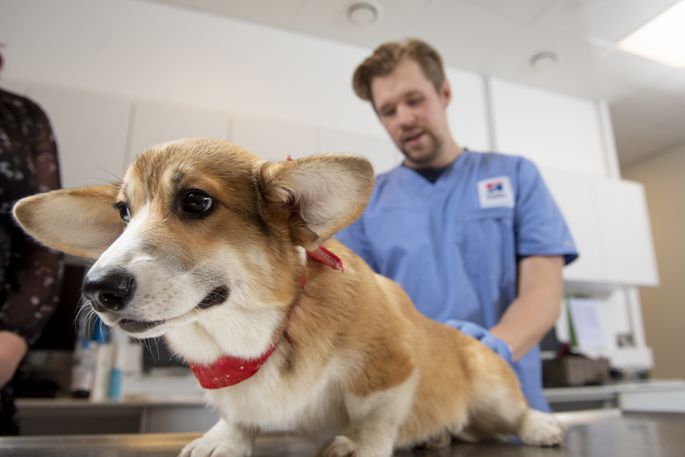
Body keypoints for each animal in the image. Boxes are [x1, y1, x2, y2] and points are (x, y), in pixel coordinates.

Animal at [13, 137, 564, 454]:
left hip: (491, 383)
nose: (96, 289)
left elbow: (375, 418)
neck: (266, 332)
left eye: (197, 201)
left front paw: (355, 444)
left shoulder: (390, 369)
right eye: (123, 212)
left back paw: (540, 427)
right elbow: (238, 417)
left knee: (513, 412)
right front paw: (224, 440)